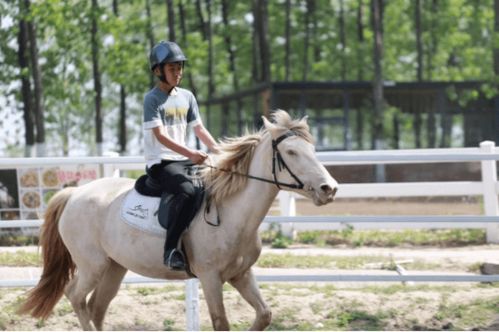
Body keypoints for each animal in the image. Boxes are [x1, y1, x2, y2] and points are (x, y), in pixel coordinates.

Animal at [19, 111, 340, 330]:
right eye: (291, 152)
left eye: (312, 150)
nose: (330, 188)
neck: (233, 212)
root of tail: (74, 193)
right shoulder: (210, 278)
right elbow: (221, 322)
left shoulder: (241, 274)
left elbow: (264, 315)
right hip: (92, 265)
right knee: (75, 296)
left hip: (114, 268)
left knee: (96, 307)